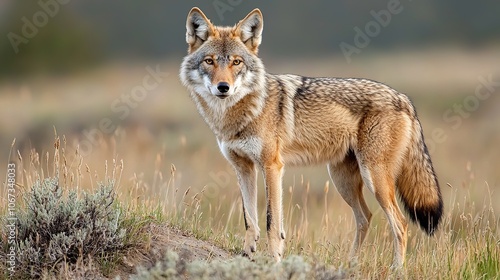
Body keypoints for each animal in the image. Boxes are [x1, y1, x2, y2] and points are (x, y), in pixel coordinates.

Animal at [179, 7, 442, 270]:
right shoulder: (244, 168)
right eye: (210, 61)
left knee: (401, 223)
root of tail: (404, 98)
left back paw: (396, 269)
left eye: (236, 62)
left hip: (374, 178)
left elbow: (271, 222)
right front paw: (246, 257)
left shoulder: (272, 166)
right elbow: (250, 220)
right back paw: (350, 265)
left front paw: (276, 262)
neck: (237, 115)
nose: (223, 87)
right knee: (365, 217)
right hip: (342, 180)